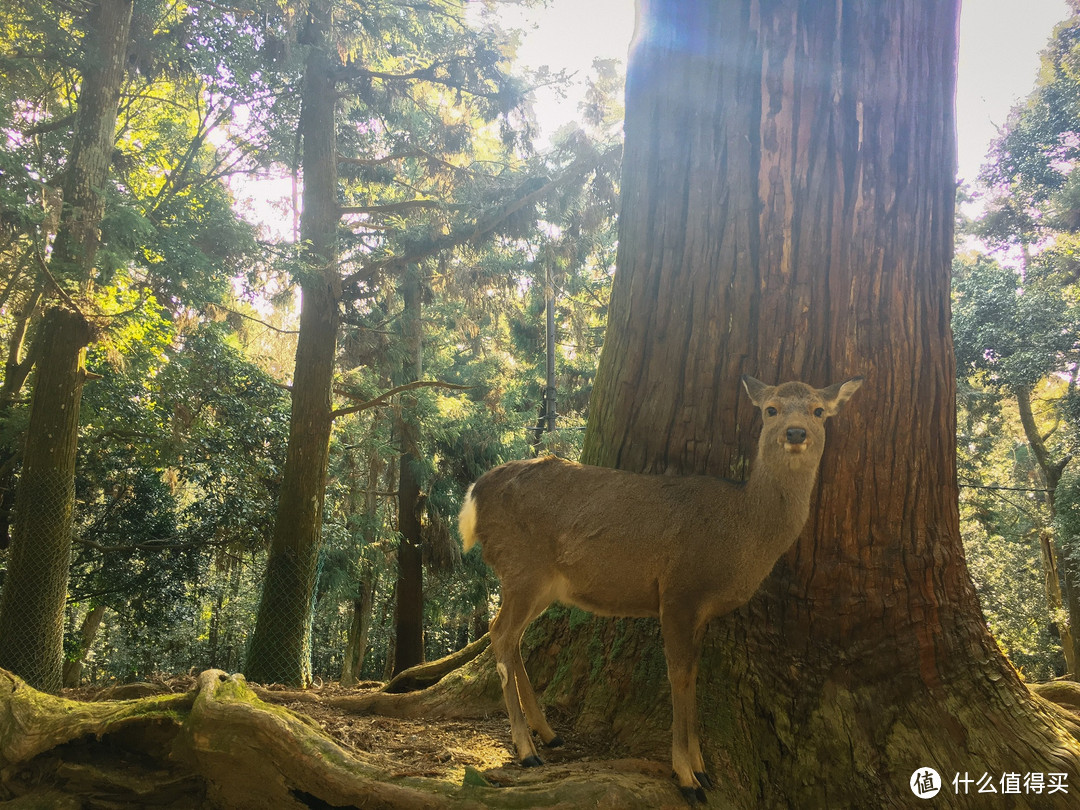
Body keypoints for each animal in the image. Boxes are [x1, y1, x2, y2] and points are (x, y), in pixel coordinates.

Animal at [455, 375, 859, 807]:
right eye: (771, 409)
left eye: (819, 410)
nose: (796, 432)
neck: (743, 533)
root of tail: (474, 495)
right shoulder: (679, 590)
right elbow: (678, 675)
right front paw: (687, 777)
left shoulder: (701, 609)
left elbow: (693, 674)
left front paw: (702, 769)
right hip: (522, 566)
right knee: (501, 634)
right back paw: (527, 751)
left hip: (542, 583)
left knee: (510, 637)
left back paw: (549, 734)